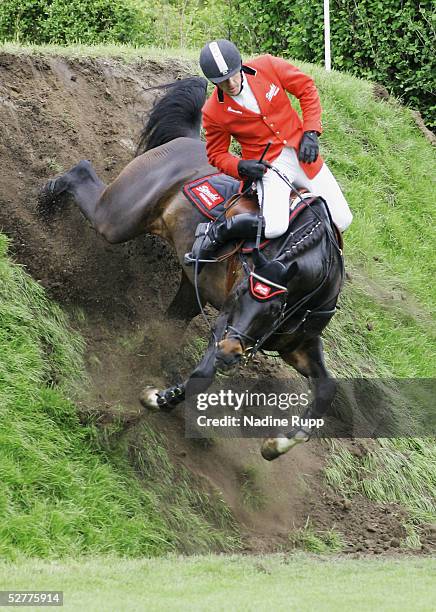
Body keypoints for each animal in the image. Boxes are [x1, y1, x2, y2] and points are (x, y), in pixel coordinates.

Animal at [40, 75, 344, 460]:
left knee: (169, 324)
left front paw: (277, 444)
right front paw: (156, 398)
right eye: (241, 291)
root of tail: (187, 140)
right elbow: (202, 375)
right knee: (82, 173)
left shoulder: (296, 344)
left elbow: (327, 390)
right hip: (118, 219)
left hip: (188, 285)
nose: (230, 353)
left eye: (276, 310)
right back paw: (47, 197)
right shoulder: (228, 321)